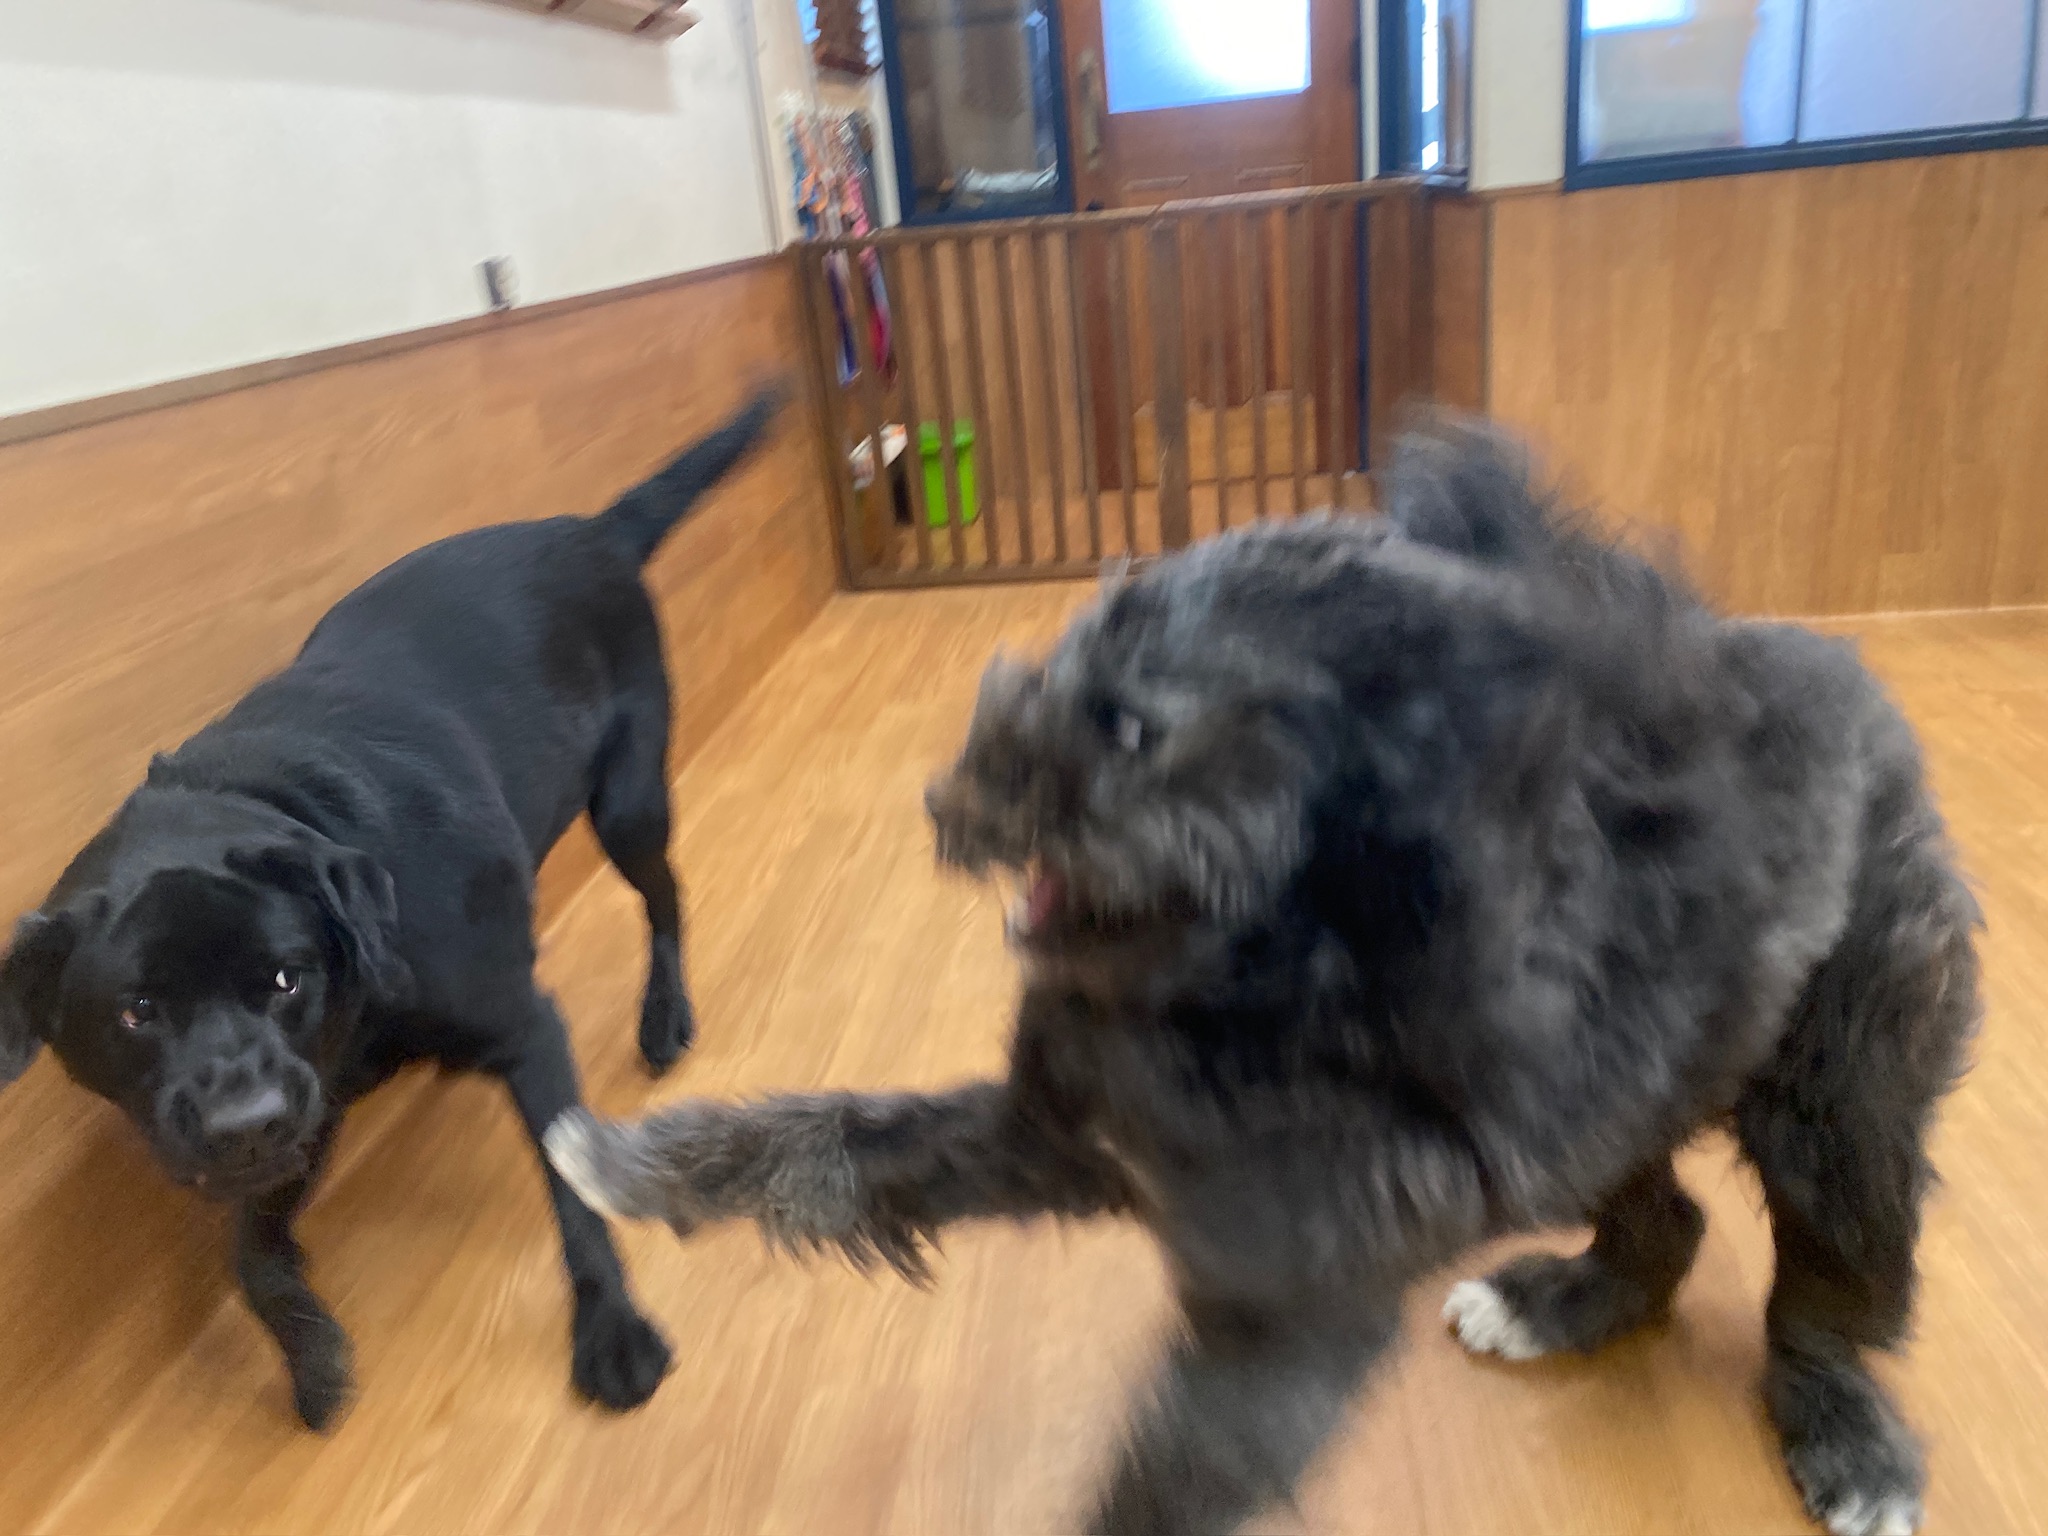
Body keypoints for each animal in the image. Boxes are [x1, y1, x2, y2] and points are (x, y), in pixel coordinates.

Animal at [0, 387, 782, 1430]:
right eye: (137, 1011)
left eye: (284, 977)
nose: (240, 1119)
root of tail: (589, 528)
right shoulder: (308, 1100)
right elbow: (250, 1255)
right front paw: (312, 1357)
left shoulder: (520, 1029)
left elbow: (575, 1196)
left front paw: (613, 1332)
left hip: (629, 806)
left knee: (667, 901)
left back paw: (664, 1016)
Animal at [545, 420, 1978, 1536]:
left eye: (1131, 724)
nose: (944, 800)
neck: (1258, 972)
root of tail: (1850, 674)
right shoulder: (1054, 1134)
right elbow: (836, 1144)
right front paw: (630, 1162)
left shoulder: (1282, 1318)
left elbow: (1160, 1488)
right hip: (1627, 1100)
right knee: (1665, 1226)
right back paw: (1559, 1304)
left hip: (1840, 1109)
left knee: (1823, 1293)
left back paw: (1846, 1442)